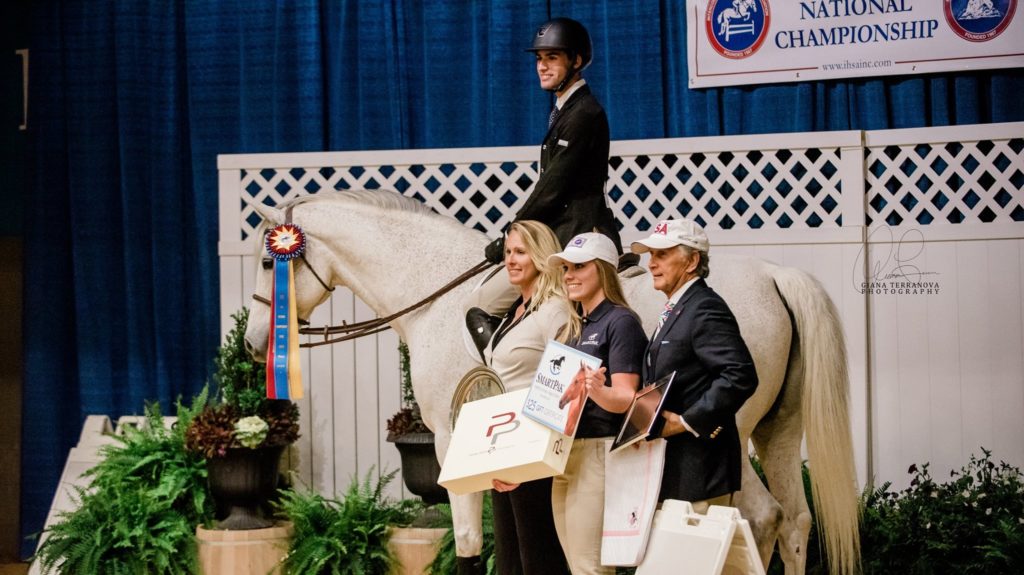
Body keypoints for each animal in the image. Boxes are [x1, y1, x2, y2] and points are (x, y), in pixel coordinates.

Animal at [243, 189, 860, 572]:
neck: (436, 293)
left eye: (271, 262)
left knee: (762, 516)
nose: (253, 343)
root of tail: (775, 275)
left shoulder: (450, 440)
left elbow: (469, 541)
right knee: (794, 520)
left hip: (721, 431)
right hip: (776, 431)